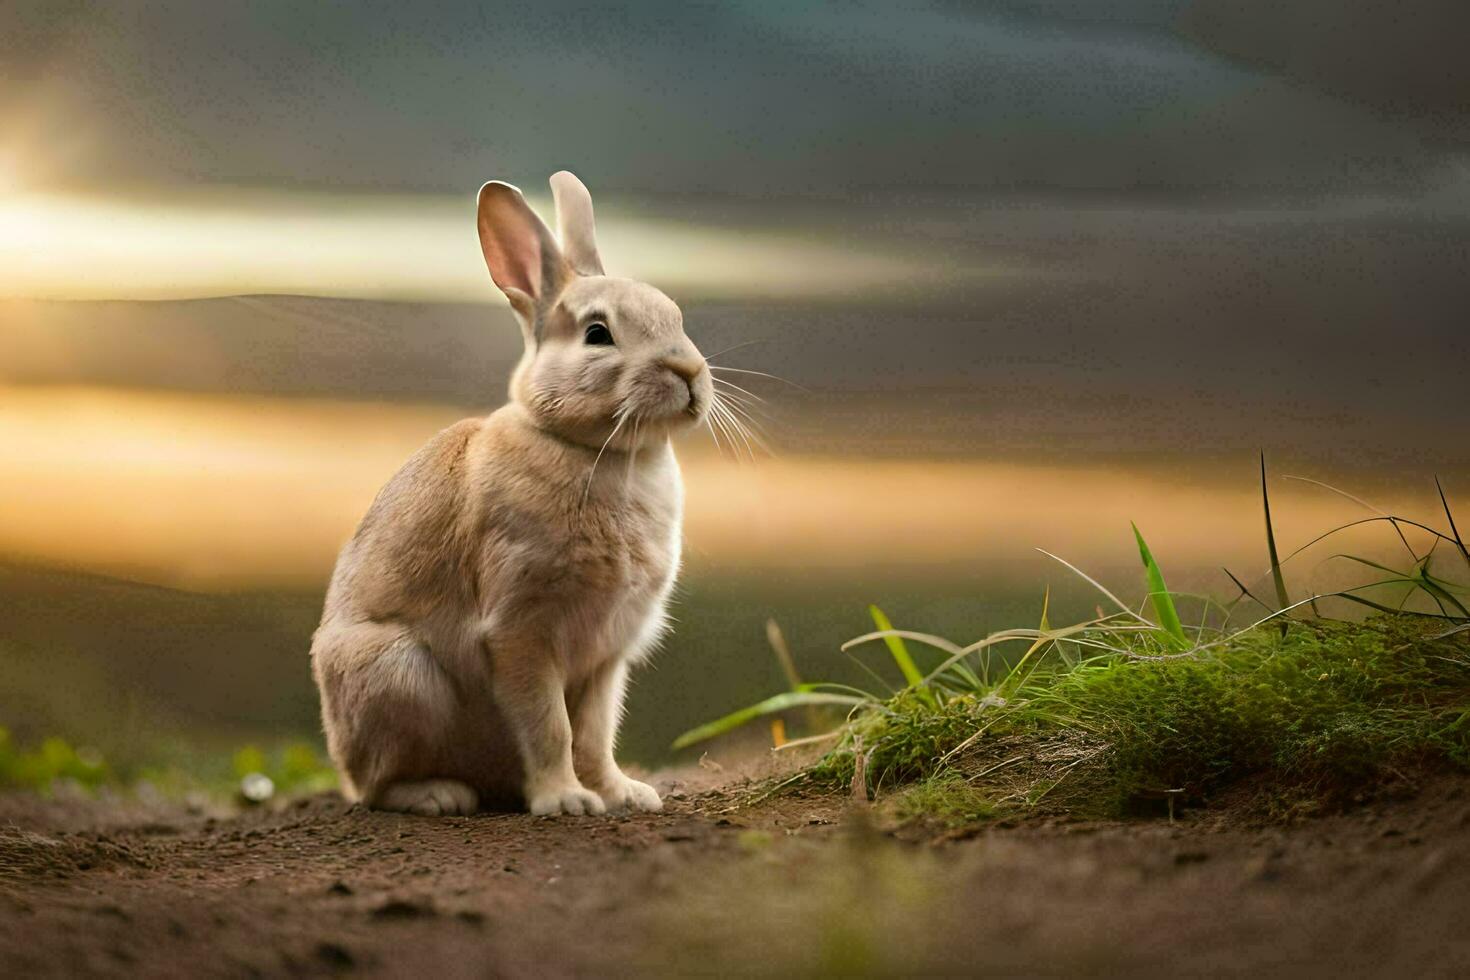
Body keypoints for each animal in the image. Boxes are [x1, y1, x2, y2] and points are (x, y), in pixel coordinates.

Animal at [313, 172, 714, 816]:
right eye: (598, 334)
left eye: (674, 314)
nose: (690, 372)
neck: (594, 448)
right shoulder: (521, 631)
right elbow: (550, 726)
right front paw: (567, 802)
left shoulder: (606, 659)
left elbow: (595, 733)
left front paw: (623, 795)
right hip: (400, 676)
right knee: (374, 787)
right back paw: (440, 796)